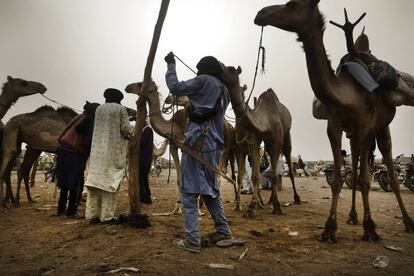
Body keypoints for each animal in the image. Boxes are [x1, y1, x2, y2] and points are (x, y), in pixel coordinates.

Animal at [222, 65, 300, 216]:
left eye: (231, 70)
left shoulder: (264, 143)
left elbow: (265, 175)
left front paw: (272, 206)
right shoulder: (243, 148)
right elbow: (245, 176)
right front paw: (242, 205)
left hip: (286, 136)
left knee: (288, 163)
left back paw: (296, 198)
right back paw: (268, 200)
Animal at [254, 0, 412, 242]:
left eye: (292, 4)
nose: (260, 13)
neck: (347, 95)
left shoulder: (366, 127)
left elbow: (366, 180)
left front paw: (370, 228)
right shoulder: (334, 127)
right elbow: (338, 179)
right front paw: (330, 228)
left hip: (382, 127)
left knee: (390, 172)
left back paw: (406, 221)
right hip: (354, 135)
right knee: (354, 166)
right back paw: (352, 216)